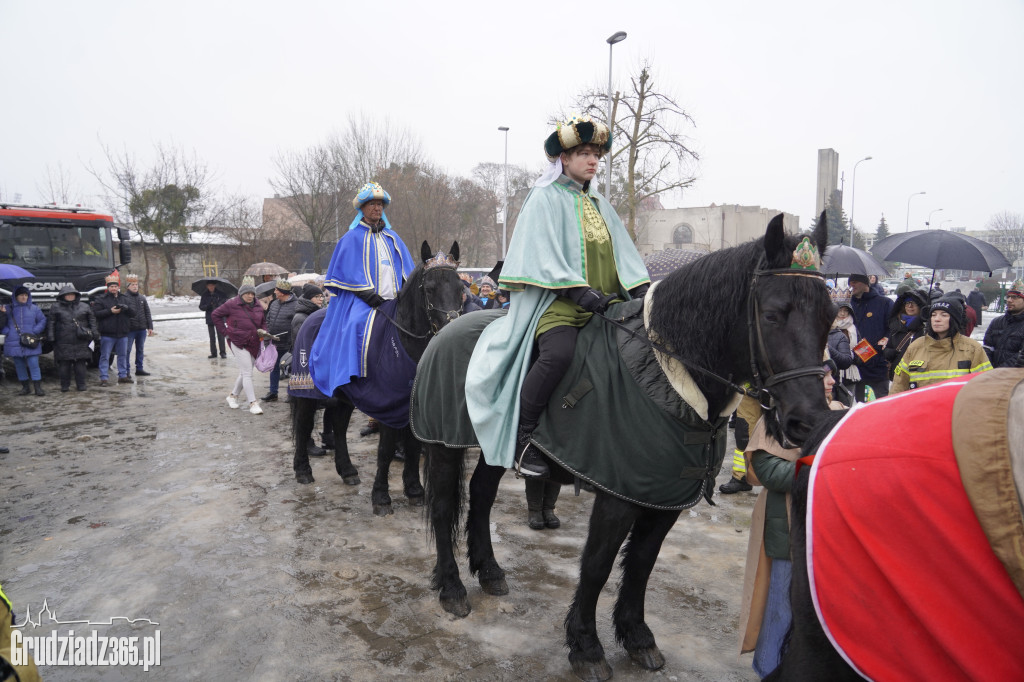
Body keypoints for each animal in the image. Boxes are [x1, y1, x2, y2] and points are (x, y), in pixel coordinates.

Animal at [290, 241, 462, 512]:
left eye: (461, 288)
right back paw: (303, 470)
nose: (451, 331)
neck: (404, 342)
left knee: (338, 426)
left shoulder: (411, 406)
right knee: (303, 424)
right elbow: (386, 450)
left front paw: (414, 489)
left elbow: (413, 447)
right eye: (430, 289)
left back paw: (347, 470)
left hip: (345, 396)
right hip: (308, 391)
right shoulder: (387, 406)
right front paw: (381, 496)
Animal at [419, 215, 835, 675]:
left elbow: (641, 564)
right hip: (443, 444)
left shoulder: (663, 499)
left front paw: (637, 635)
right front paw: (586, 646)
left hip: (494, 444)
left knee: (480, 495)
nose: (807, 420)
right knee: (443, 508)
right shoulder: (617, 495)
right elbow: (598, 565)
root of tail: (445, 330)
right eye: (773, 314)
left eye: (830, 315)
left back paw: (489, 571)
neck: (669, 371)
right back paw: (452, 587)